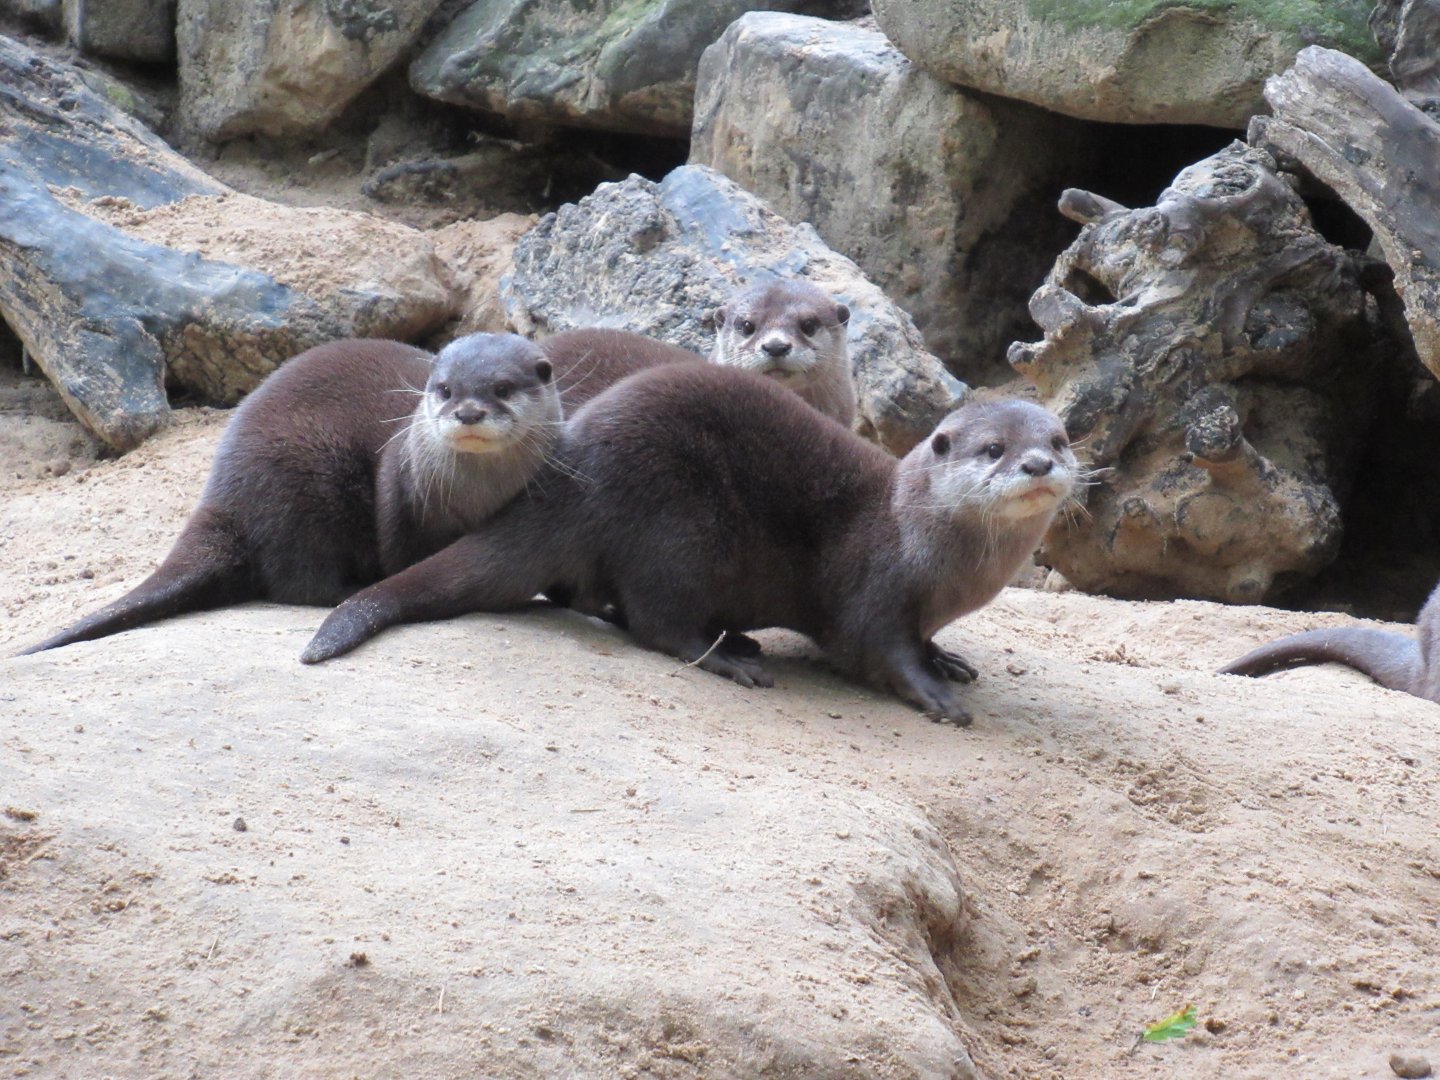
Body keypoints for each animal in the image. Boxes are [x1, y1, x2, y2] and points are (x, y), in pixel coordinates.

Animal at [21, 334, 559, 654]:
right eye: (445, 389)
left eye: (503, 388)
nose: (467, 412)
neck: (473, 498)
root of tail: (221, 495)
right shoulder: (401, 488)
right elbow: (401, 552)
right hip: (307, 482)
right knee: (296, 578)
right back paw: (345, 588)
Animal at [299, 364, 1077, 726]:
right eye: (993, 448)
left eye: (1060, 438)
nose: (1039, 465)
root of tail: (578, 468)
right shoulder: (874, 587)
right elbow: (873, 648)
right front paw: (932, 691)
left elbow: (921, 641)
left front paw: (947, 658)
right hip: (681, 527)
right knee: (655, 621)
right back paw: (730, 657)